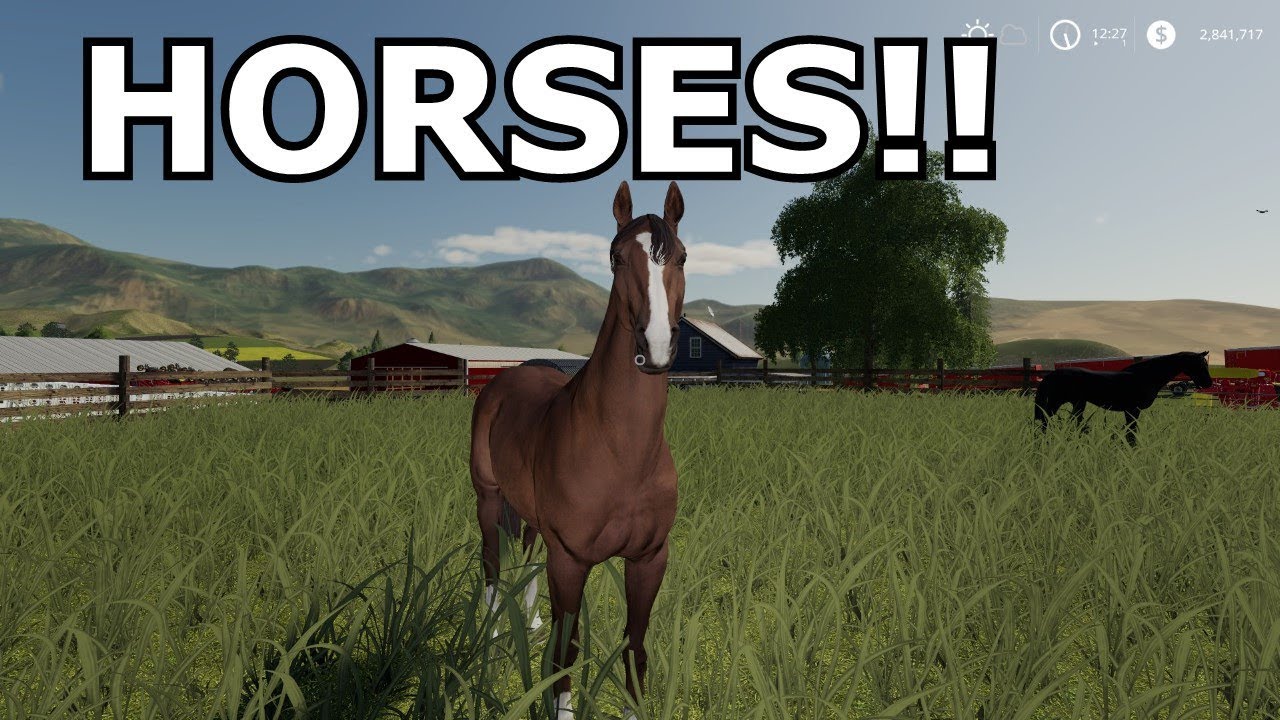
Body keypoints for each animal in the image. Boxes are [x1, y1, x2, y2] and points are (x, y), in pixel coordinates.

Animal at [470, 180, 686, 720]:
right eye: (615, 258)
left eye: (682, 257)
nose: (655, 346)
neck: (622, 452)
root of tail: (507, 377)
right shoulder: (570, 559)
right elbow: (563, 659)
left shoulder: (649, 557)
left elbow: (635, 651)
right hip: (487, 497)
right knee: (492, 565)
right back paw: (492, 636)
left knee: (527, 554)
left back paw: (527, 625)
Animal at [1034, 351, 1213, 445]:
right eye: (1200, 364)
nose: (1208, 383)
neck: (1146, 376)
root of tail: (1050, 376)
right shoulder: (1133, 409)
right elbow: (1131, 432)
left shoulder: (1131, 410)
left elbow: (1130, 432)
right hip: (1058, 403)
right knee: (1045, 422)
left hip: (1076, 404)